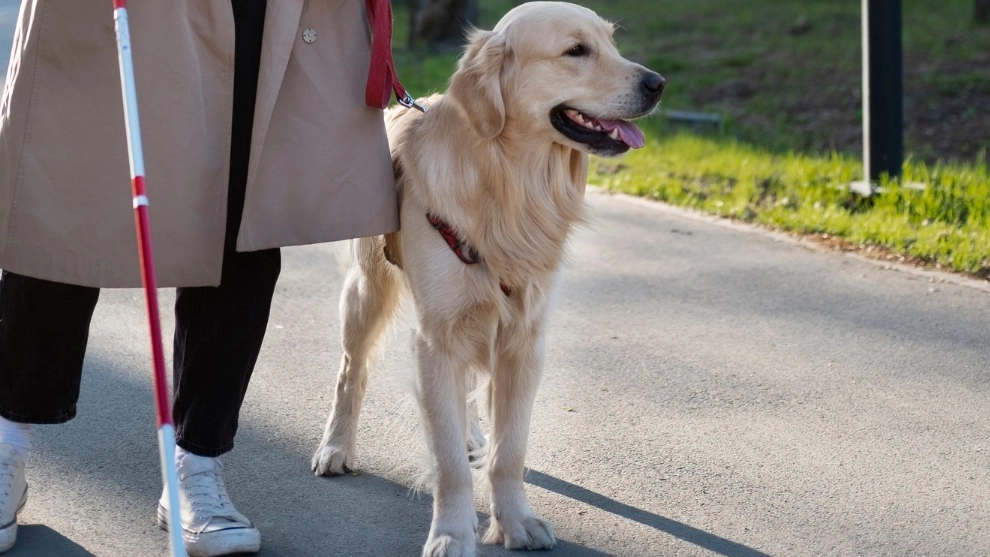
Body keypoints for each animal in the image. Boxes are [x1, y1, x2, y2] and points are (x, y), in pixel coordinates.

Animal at [314, 2, 664, 552]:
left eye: (612, 43)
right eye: (576, 51)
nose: (658, 84)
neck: (511, 182)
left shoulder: (524, 339)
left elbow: (510, 450)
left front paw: (516, 521)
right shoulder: (435, 341)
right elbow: (448, 464)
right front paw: (452, 533)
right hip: (367, 291)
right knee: (352, 371)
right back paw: (335, 446)